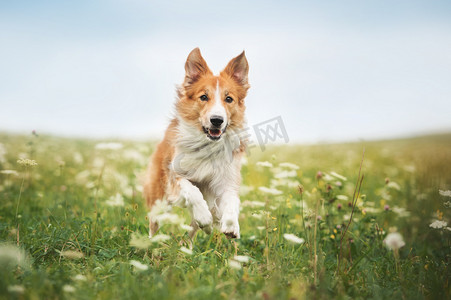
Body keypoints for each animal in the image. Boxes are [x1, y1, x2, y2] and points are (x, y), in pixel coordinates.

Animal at [144, 47, 251, 239]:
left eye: (229, 99)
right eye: (204, 97)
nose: (217, 120)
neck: (207, 145)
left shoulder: (226, 179)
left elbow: (232, 200)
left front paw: (231, 225)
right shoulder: (175, 175)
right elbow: (193, 191)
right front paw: (204, 216)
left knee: (191, 233)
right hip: (158, 196)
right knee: (154, 223)